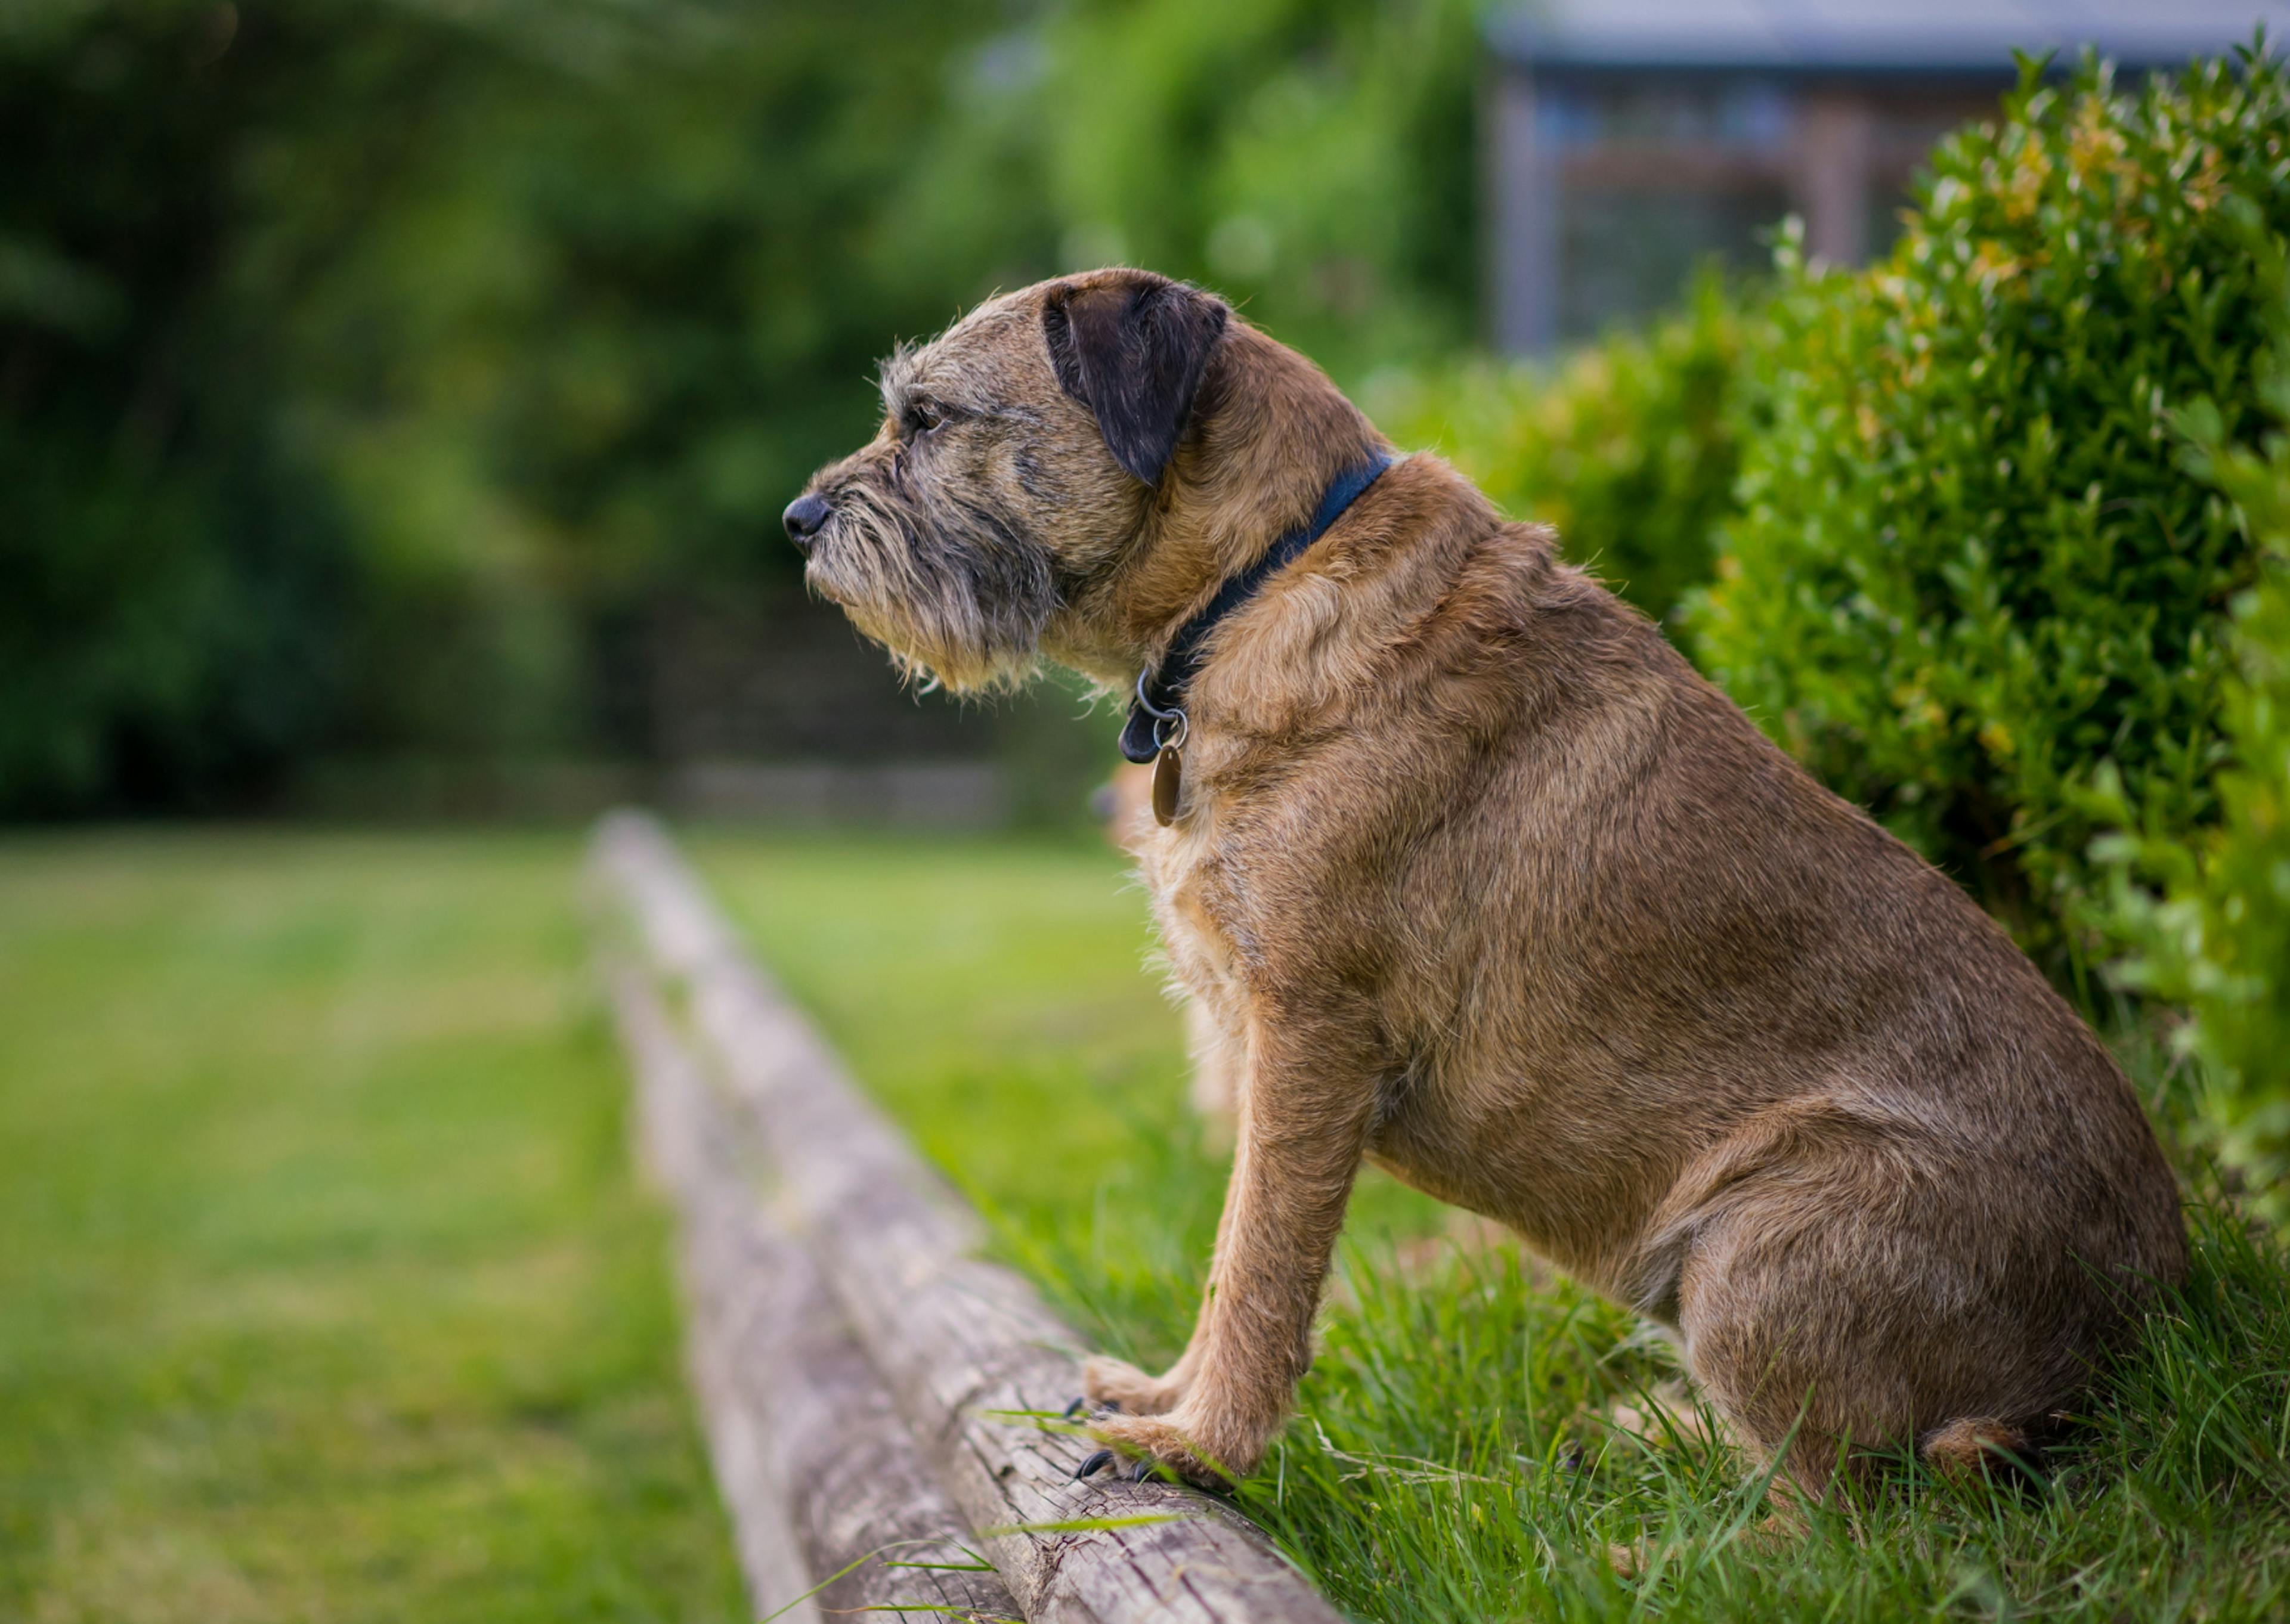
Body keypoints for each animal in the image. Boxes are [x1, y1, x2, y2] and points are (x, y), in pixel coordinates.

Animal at [783, 265, 2180, 1493]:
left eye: (929, 418)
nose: (799, 523)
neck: (1263, 579)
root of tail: (2144, 1333)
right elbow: (1233, 1255)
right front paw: (1164, 1397)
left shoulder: (1308, 1040)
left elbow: (1256, 1261)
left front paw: (1197, 1447)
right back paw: (1646, 1437)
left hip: (1762, 1245)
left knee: (1840, 1517)